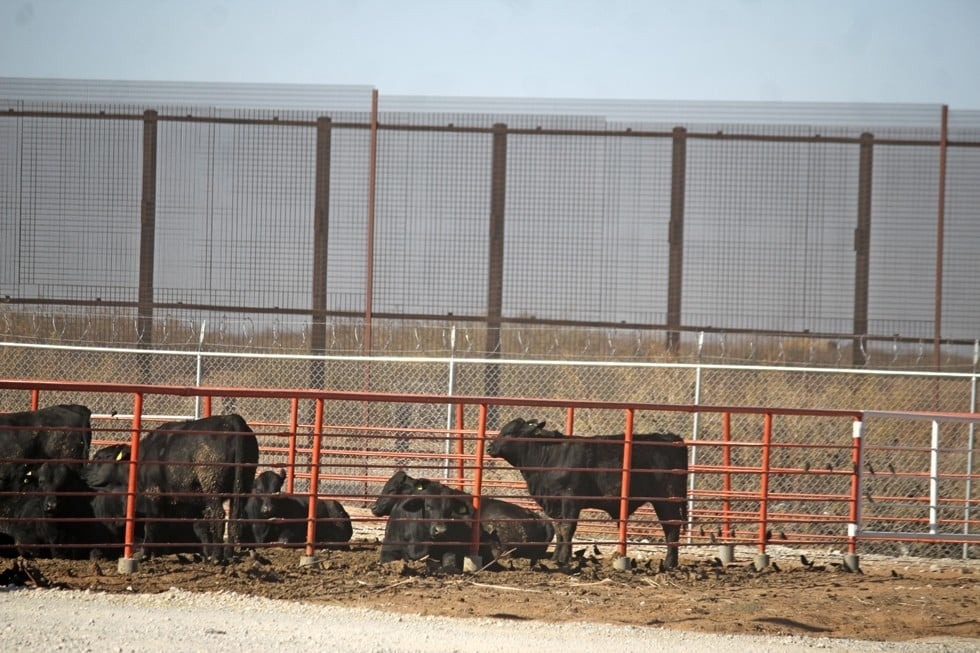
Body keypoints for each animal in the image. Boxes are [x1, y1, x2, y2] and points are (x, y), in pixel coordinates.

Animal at [484, 418, 688, 564]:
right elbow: (559, 528)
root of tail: (672, 439)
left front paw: (564, 558)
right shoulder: (555, 503)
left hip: (667, 500)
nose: (489, 447)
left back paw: (670, 563)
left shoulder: (571, 500)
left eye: (510, 432)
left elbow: (568, 528)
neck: (550, 456)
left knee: (671, 527)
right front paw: (556, 557)